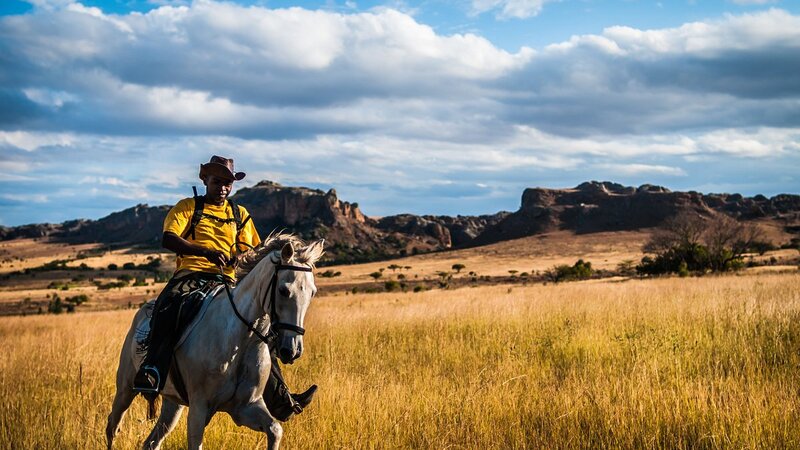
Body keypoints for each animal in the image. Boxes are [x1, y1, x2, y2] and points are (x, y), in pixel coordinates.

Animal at [106, 236, 324, 450]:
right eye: (284, 290)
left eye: (312, 292)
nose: (292, 350)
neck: (239, 341)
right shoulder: (199, 409)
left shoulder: (245, 408)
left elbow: (275, 430)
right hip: (125, 388)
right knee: (112, 427)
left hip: (173, 403)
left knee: (151, 442)